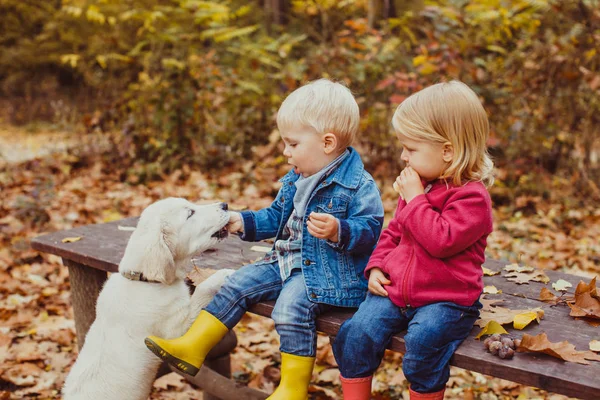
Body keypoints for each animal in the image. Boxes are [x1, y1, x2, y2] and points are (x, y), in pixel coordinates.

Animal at [62, 198, 234, 400]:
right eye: (190, 213)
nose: (225, 205)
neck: (144, 280)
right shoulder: (177, 329)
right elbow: (202, 290)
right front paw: (224, 273)